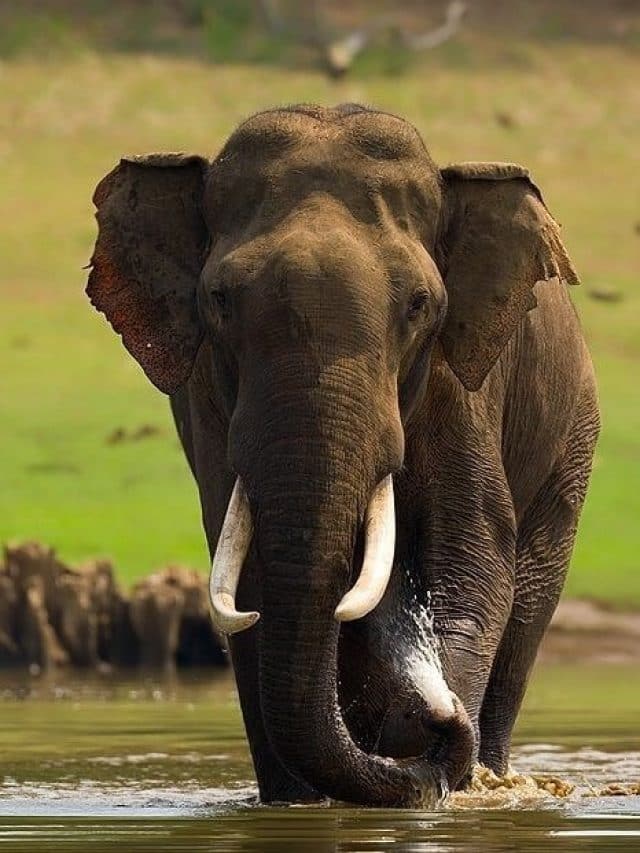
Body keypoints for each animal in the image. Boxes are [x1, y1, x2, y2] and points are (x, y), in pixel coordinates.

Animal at [86, 104, 599, 806]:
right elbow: (249, 578)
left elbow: (471, 555)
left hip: (572, 446)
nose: (436, 716)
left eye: (419, 305)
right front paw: (302, 802)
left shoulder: (461, 385)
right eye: (219, 300)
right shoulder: (209, 399)